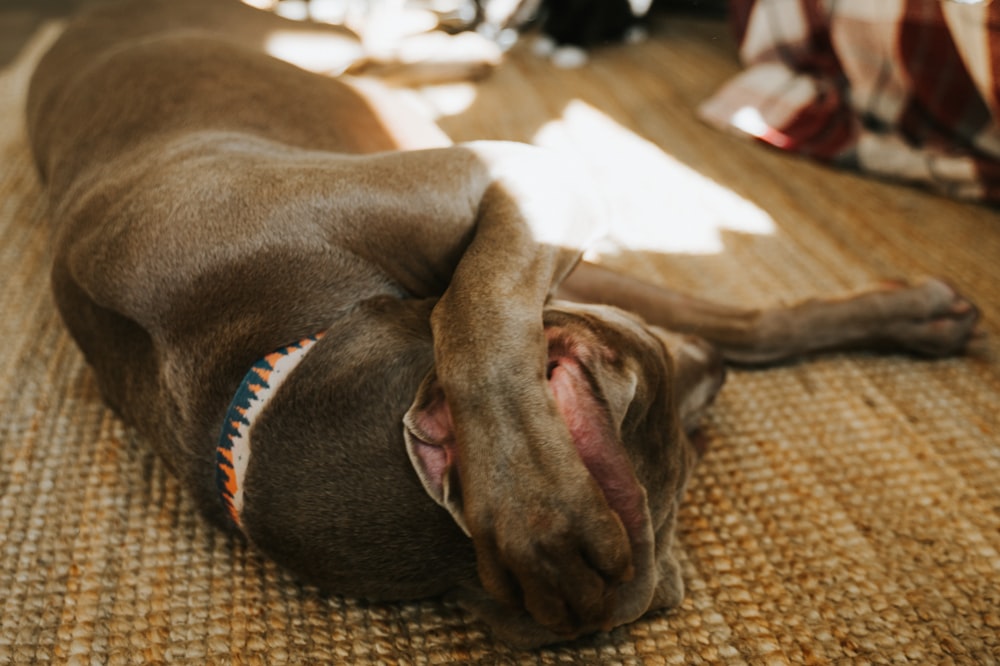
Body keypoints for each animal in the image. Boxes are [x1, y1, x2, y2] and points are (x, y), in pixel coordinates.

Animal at [27, 0, 980, 644]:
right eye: (681, 416)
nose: (712, 371)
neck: (272, 355)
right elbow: (488, 313)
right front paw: (543, 510)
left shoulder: (529, 188)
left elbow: (483, 307)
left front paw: (918, 314)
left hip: (328, 51)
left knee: (377, 47)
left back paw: (470, 46)